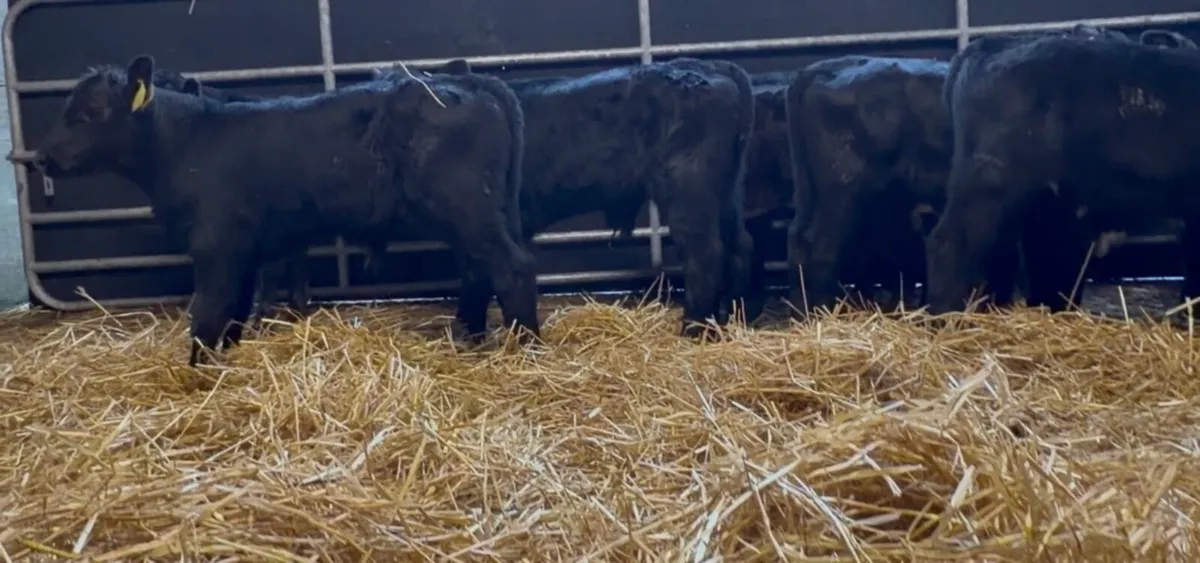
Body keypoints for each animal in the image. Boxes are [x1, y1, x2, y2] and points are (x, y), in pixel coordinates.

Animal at [32, 54, 540, 366]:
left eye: (90, 113)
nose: (41, 157)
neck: (184, 143)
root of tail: (466, 79)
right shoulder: (247, 251)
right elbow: (234, 314)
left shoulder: (215, 246)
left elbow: (207, 313)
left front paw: (196, 375)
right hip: (475, 214)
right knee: (479, 272)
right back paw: (473, 339)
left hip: (467, 209)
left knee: (513, 269)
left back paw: (526, 348)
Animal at [377, 57, 756, 338]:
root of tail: (714, 67)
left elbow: (476, 276)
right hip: (726, 191)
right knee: (739, 246)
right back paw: (734, 321)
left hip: (688, 189)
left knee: (705, 254)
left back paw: (693, 330)